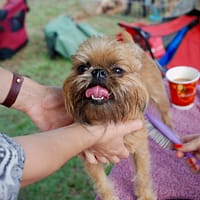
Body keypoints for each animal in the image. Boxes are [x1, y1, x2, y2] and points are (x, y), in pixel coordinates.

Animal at [63, 32, 172, 200]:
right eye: (82, 68)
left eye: (118, 70)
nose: (98, 71)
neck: (108, 119)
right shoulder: (92, 160)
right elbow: (102, 184)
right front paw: (109, 197)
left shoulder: (140, 149)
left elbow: (143, 175)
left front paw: (145, 195)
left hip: (159, 95)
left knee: (166, 113)